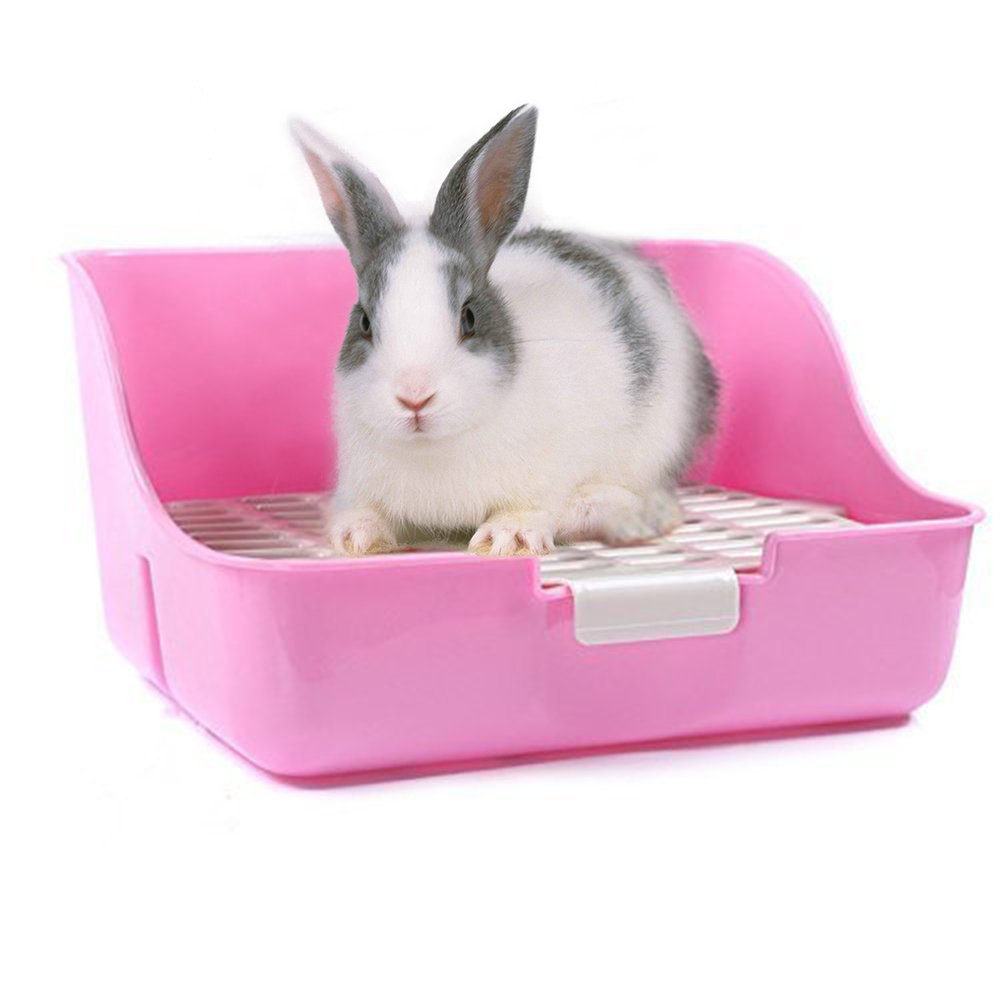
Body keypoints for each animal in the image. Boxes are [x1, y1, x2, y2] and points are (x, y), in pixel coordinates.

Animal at [292, 105, 719, 557]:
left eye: (469, 317)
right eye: (365, 322)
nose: (414, 397)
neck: (435, 447)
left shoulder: (545, 479)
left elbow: (529, 508)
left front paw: (507, 538)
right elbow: (367, 513)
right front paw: (356, 535)